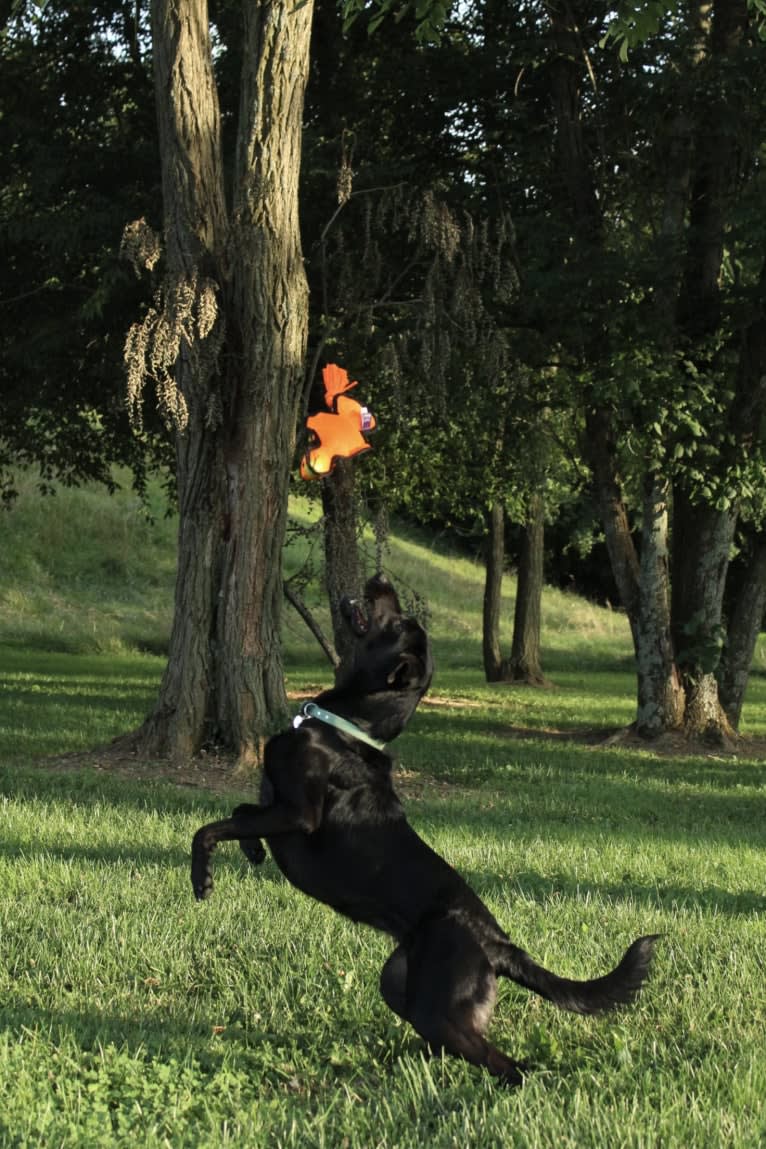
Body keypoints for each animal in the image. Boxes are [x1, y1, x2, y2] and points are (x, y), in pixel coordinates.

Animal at [191, 574, 661, 1084]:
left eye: (398, 623)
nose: (381, 578)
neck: (343, 725)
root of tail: (497, 944)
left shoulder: (299, 816)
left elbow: (208, 829)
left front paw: (203, 879)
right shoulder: (276, 808)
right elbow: (240, 813)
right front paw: (253, 851)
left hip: (438, 1004)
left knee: (505, 1063)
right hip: (401, 984)